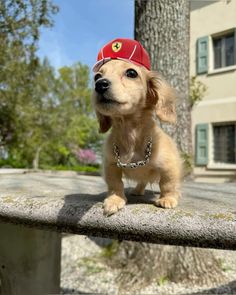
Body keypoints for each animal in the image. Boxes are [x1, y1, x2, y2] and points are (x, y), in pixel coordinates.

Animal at [91, 38, 181, 217]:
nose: (100, 85)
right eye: (97, 76)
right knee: (142, 182)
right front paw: (114, 200)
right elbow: (115, 185)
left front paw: (168, 199)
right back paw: (137, 191)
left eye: (131, 73)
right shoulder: (111, 165)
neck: (130, 135)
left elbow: (168, 183)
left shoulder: (170, 166)